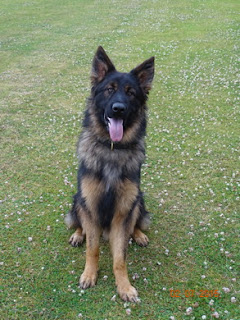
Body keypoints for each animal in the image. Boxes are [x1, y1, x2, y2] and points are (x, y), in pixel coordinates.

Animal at [64, 46, 155, 302]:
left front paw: (124, 286)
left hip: (138, 201)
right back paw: (77, 234)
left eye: (131, 93)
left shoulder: (123, 211)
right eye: (110, 90)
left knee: (136, 223)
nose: (118, 109)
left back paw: (139, 235)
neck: (112, 149)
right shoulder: (91, 204)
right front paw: (89, 274)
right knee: (80, 223)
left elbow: (120, 258)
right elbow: (92, 248)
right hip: (78, 200)